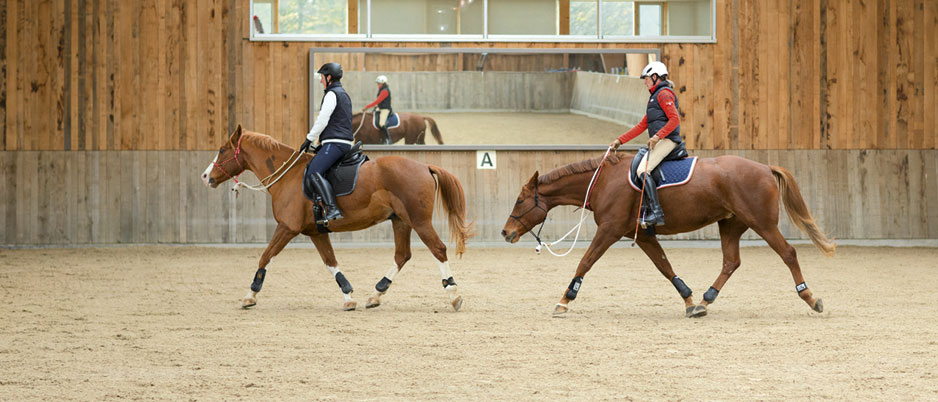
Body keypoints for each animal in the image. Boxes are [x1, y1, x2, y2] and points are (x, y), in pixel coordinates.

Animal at [200, 125, 472, 310]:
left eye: (222, 150)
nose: (205, 176)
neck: (289, 176)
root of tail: (424, 166)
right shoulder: (315, 232)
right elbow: (331, 262)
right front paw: (348, 296)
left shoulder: (287, 227)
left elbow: (265, 256)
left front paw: (250, 295)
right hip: (401, 221)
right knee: (402, 255)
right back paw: (376, 294)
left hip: (419, 221)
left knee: (438, 249)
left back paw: (454, 294)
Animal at [500, 152, 828, 318]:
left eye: (520, 200)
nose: (505, 232)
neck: (604, 181)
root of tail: (765, 167)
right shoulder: (643, 235)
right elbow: (665, 266)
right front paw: (689, 300)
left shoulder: (609, 230)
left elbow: (585, 262)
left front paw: (565, 300)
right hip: (731, 225)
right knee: (730, 262)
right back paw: (706, 300)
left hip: (762, 223)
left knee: (788, 254)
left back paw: (810, 297)